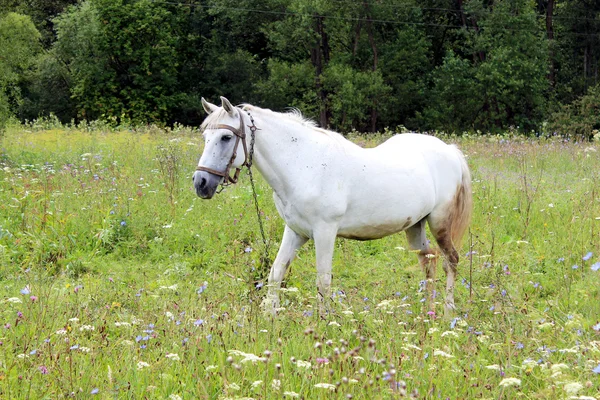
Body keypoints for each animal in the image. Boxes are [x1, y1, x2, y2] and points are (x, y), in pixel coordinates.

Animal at [193, 97, 474, 316]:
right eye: (206, 136)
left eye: (226, 137)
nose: (200, 183)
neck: (304, 164)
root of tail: (450, 151)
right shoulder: (295, 231)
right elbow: (276, 273)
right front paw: (269, 318)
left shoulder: (325, 232)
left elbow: (323, 280)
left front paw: (324, 322)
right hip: (415, 226)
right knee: (429, 260)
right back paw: (428, 310)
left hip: (439, 223)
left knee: (451, 260)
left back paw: (448, 311)